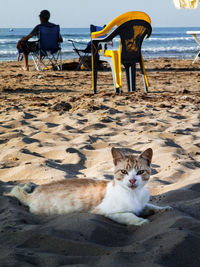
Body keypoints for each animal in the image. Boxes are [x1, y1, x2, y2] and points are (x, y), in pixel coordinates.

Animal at [9, 148, 172, 227]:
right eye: (124, 172)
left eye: (140, 172)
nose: (132, 180)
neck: (134, 195)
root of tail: (34, 194)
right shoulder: (107, 211)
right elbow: (128, 215)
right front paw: (140, 221)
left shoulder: (142, 204)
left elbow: (149, 206)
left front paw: (163, 208)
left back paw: (28, 185)